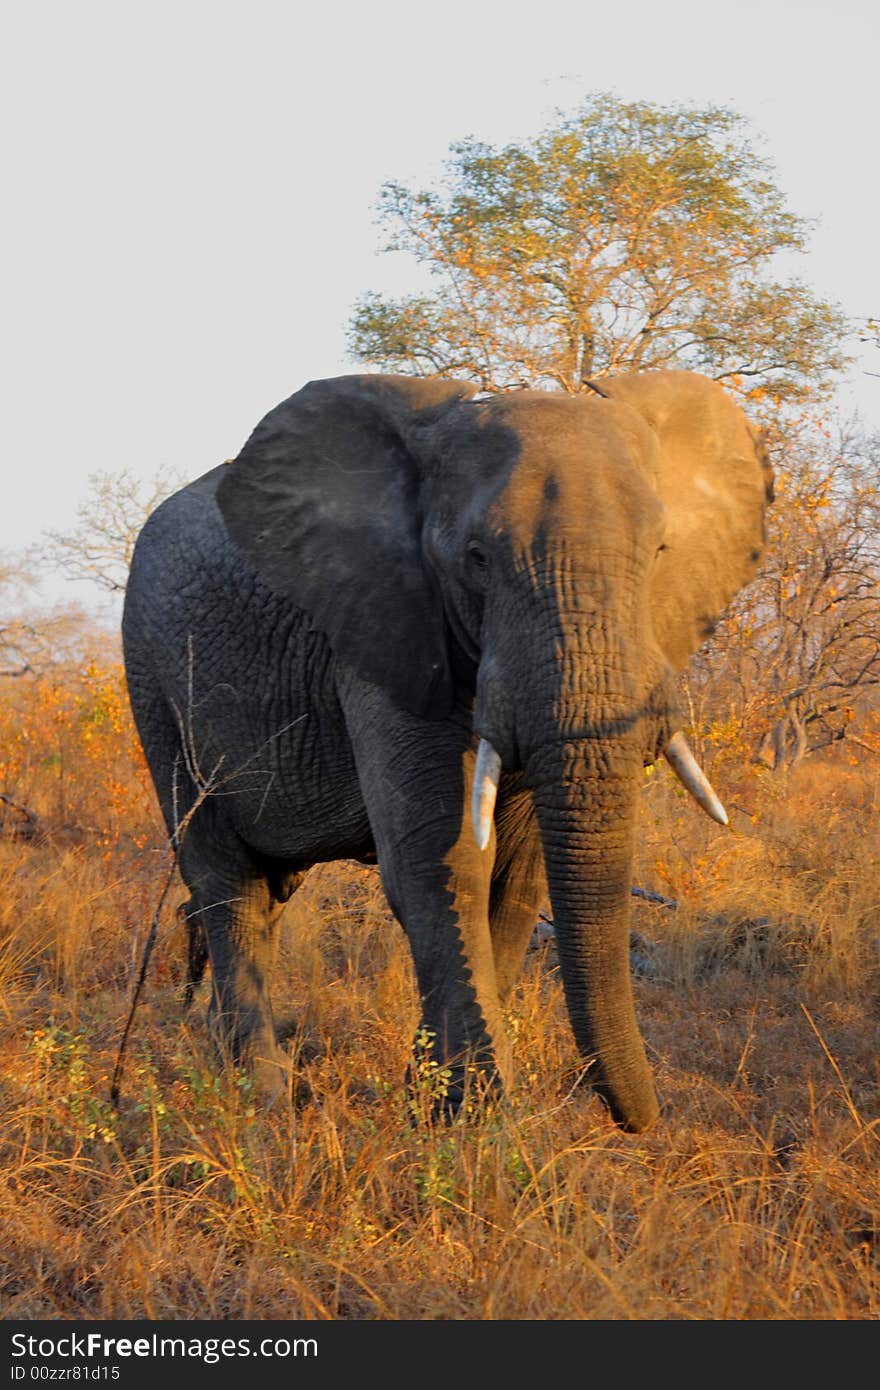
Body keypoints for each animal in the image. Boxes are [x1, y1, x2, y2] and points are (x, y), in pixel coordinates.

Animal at [121, 366, 767, 1128]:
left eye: (661, 552)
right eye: (477, 560)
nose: (645, 1120)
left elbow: (514, 881)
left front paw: (433, 1101)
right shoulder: (381, 630)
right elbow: (442, 860)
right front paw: (475, 1120)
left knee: (265, 893)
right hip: (152, 680)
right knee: (225, 883)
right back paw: (263, 1102)